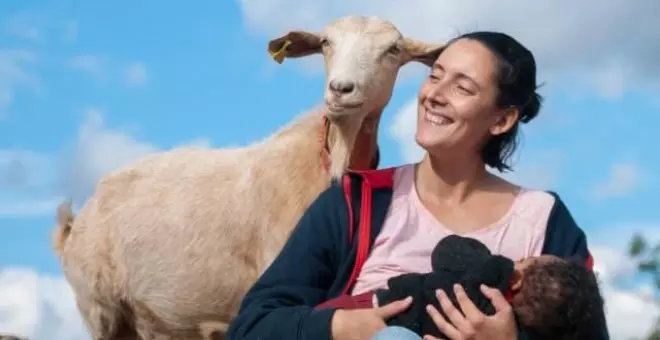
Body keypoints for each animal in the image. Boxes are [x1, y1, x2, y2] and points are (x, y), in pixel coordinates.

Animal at [51, 15, 444, 340]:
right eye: (325, 43)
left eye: (393, 50)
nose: (341, 89)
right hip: (100, 308)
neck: (329, 159)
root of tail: (76, 222)